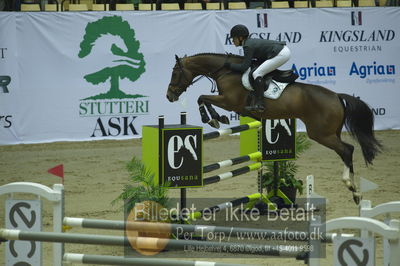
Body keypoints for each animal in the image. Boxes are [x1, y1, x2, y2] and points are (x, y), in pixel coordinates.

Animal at [166, 53, 382, 205]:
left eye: (175, 73)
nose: (169, 96)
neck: (226, 71)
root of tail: (336, 95)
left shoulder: (228, 101)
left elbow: (202, 98)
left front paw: (214, 119)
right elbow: (204, 99)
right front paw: (218, 118)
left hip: (321, 134)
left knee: (347, 149)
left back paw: (352, 187)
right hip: (330, 132)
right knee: (346, 150)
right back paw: (355, 192)